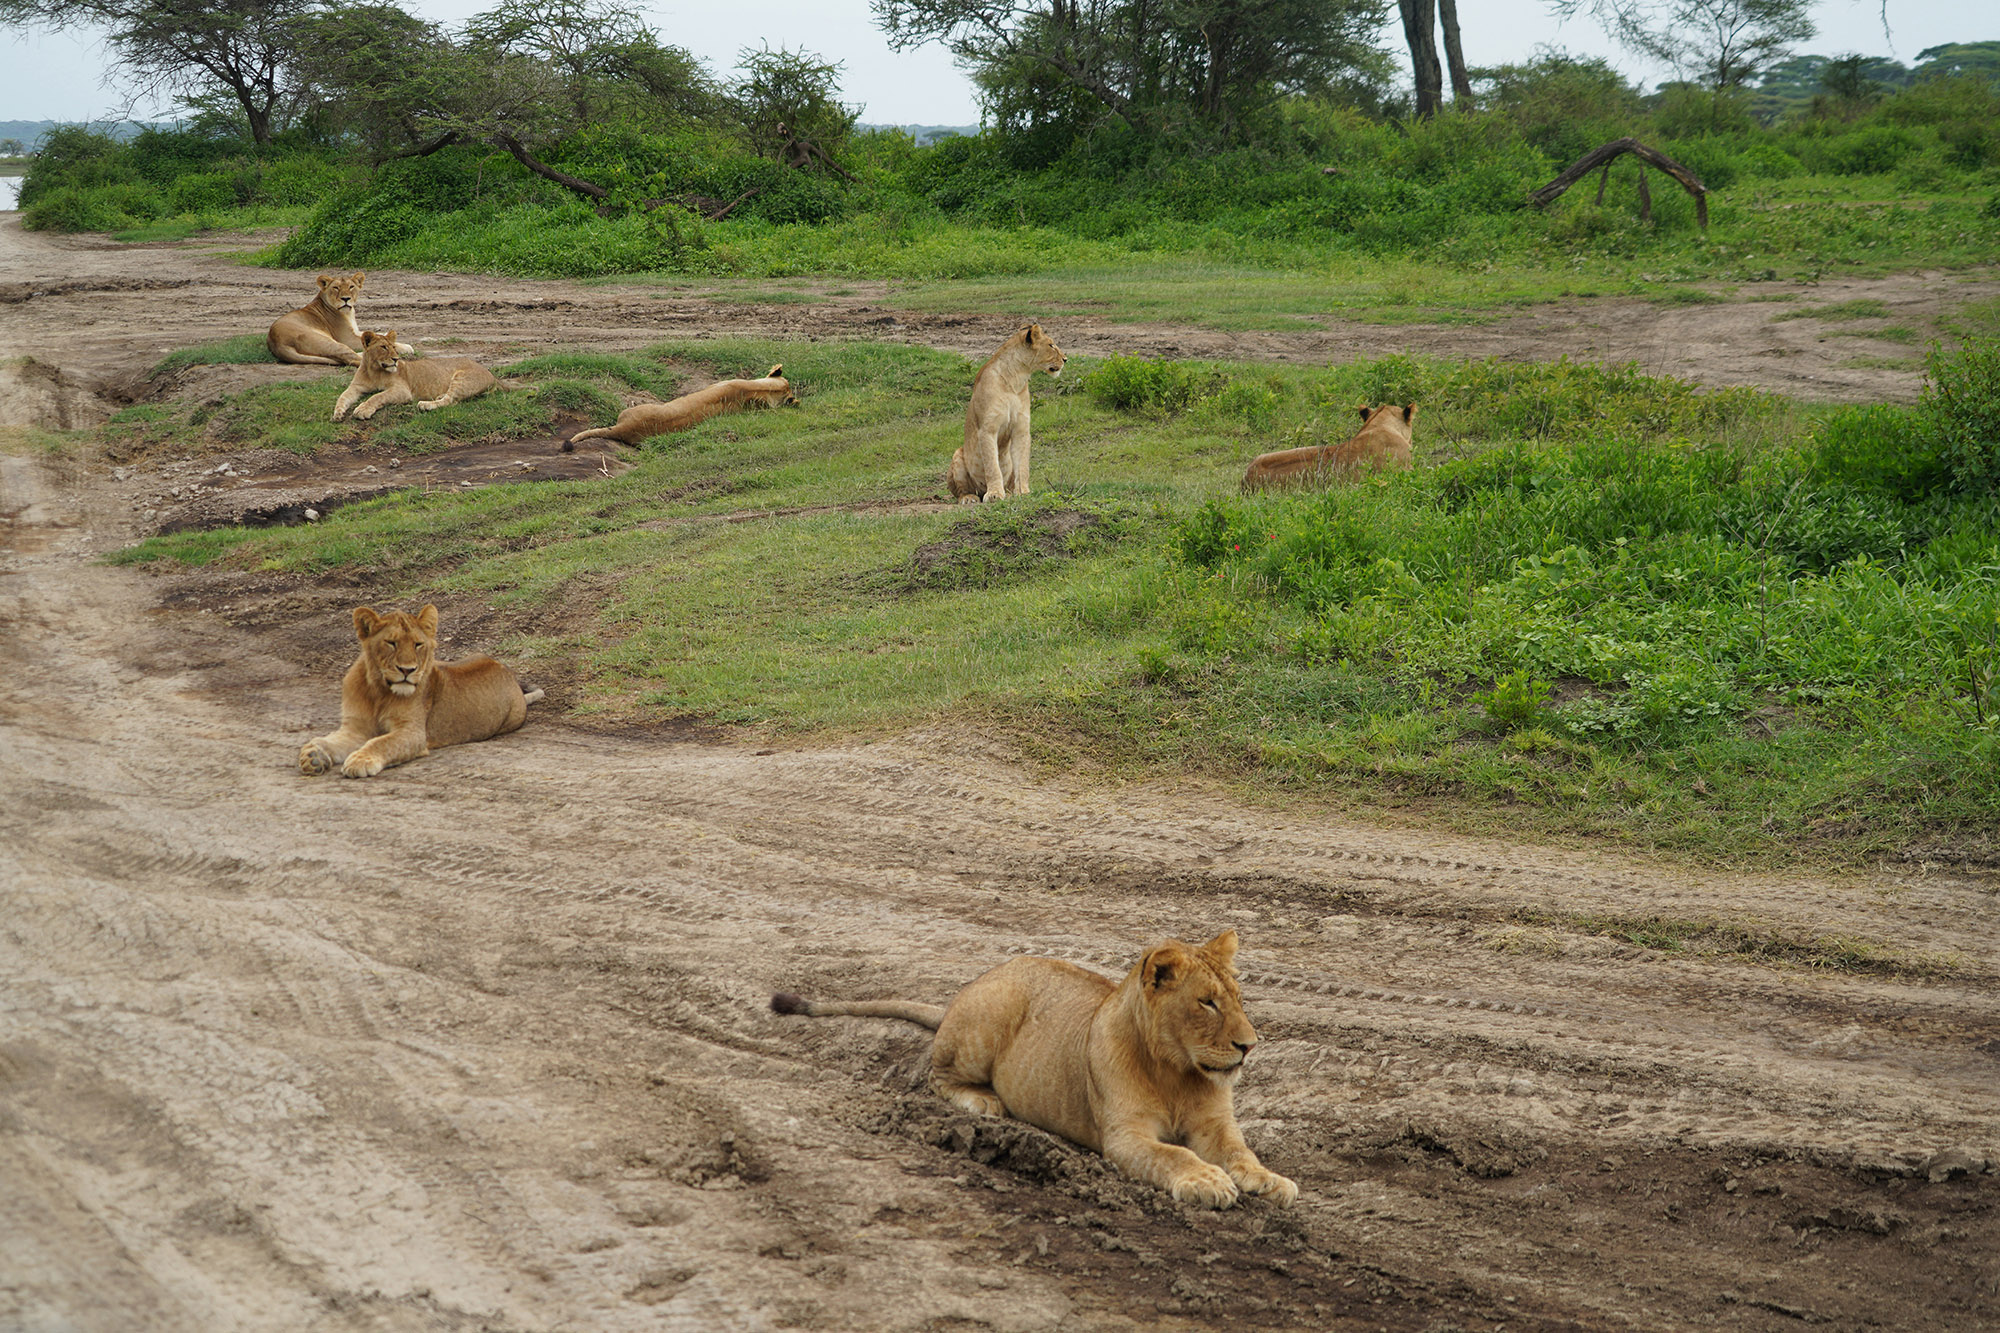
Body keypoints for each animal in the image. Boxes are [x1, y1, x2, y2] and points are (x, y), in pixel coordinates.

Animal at [267, 272, 411, 367]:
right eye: (336, 288)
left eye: (351, 287)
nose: (345, 298)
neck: (349, 313)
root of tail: (277, 343)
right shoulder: (347, 338)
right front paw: (406, 347)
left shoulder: (356, 331)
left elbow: (375, 334)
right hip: (330, 342)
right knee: (351, 359)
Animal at [298, 605, 543, 779]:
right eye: (391, 643)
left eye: (418, 644)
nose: (407, 670)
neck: (378, 690)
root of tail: (504, 668)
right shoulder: (356, 728)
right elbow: (331, 740)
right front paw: (313, 755)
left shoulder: (413, 733)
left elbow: (381, 742)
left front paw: (361, 760)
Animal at [332, 331, 498, 421]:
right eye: (383, 347)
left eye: (394, 347)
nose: (396, 359)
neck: (374, 370)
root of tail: (492, 375)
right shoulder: (356, 387)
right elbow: (343, 396)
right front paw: (338, 413)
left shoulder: (402, 390)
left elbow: (377, 396)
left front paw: (362, 410)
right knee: (453, 400)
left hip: (461, 378)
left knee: (450, 400)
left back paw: (426, 404)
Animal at [772, 929, 1297, 1210]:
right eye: (1206, 1003)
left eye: (1238, 999)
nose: (1249, 1047)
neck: (1177, 1071)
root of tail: (965, 990)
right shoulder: (1124, 1137)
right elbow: (1175, 1155)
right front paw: (1208, 1181)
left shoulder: (1215, 1125)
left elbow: (1240, 1152)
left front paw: (1270, 1180)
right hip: (988, 1020)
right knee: (937, 1076)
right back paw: (983, 1102)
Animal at [946, 323, 1067, 504]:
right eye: (1051, 345)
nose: (1066, 359)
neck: (1016, 377)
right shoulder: (987, 429)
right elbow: (992, 465)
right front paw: (995, 493)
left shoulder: (1021, 429)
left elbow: (1022, 465)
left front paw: (1023, 492)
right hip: (957, 455)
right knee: (963, 491)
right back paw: (969, 498)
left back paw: (1009, 493)